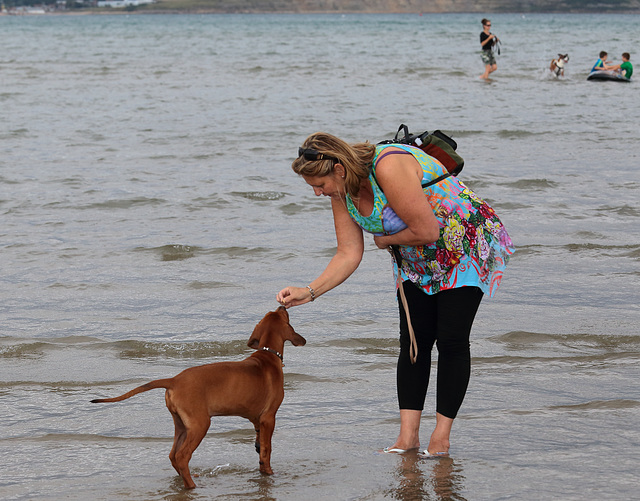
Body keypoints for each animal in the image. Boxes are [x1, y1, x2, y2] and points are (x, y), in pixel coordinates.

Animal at [90, 304, 308, 488]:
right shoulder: (269, 417)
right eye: (282, 315)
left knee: (173, 455)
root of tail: (174, 380)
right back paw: (192, 486)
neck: (267, 355)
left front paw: (262, 469)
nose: (282, 305)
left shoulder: (256, 419)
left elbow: (260, 447)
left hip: (181, 424)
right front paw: (270, 472)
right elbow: (267, 449)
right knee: (182, 456)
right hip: (200, 424)